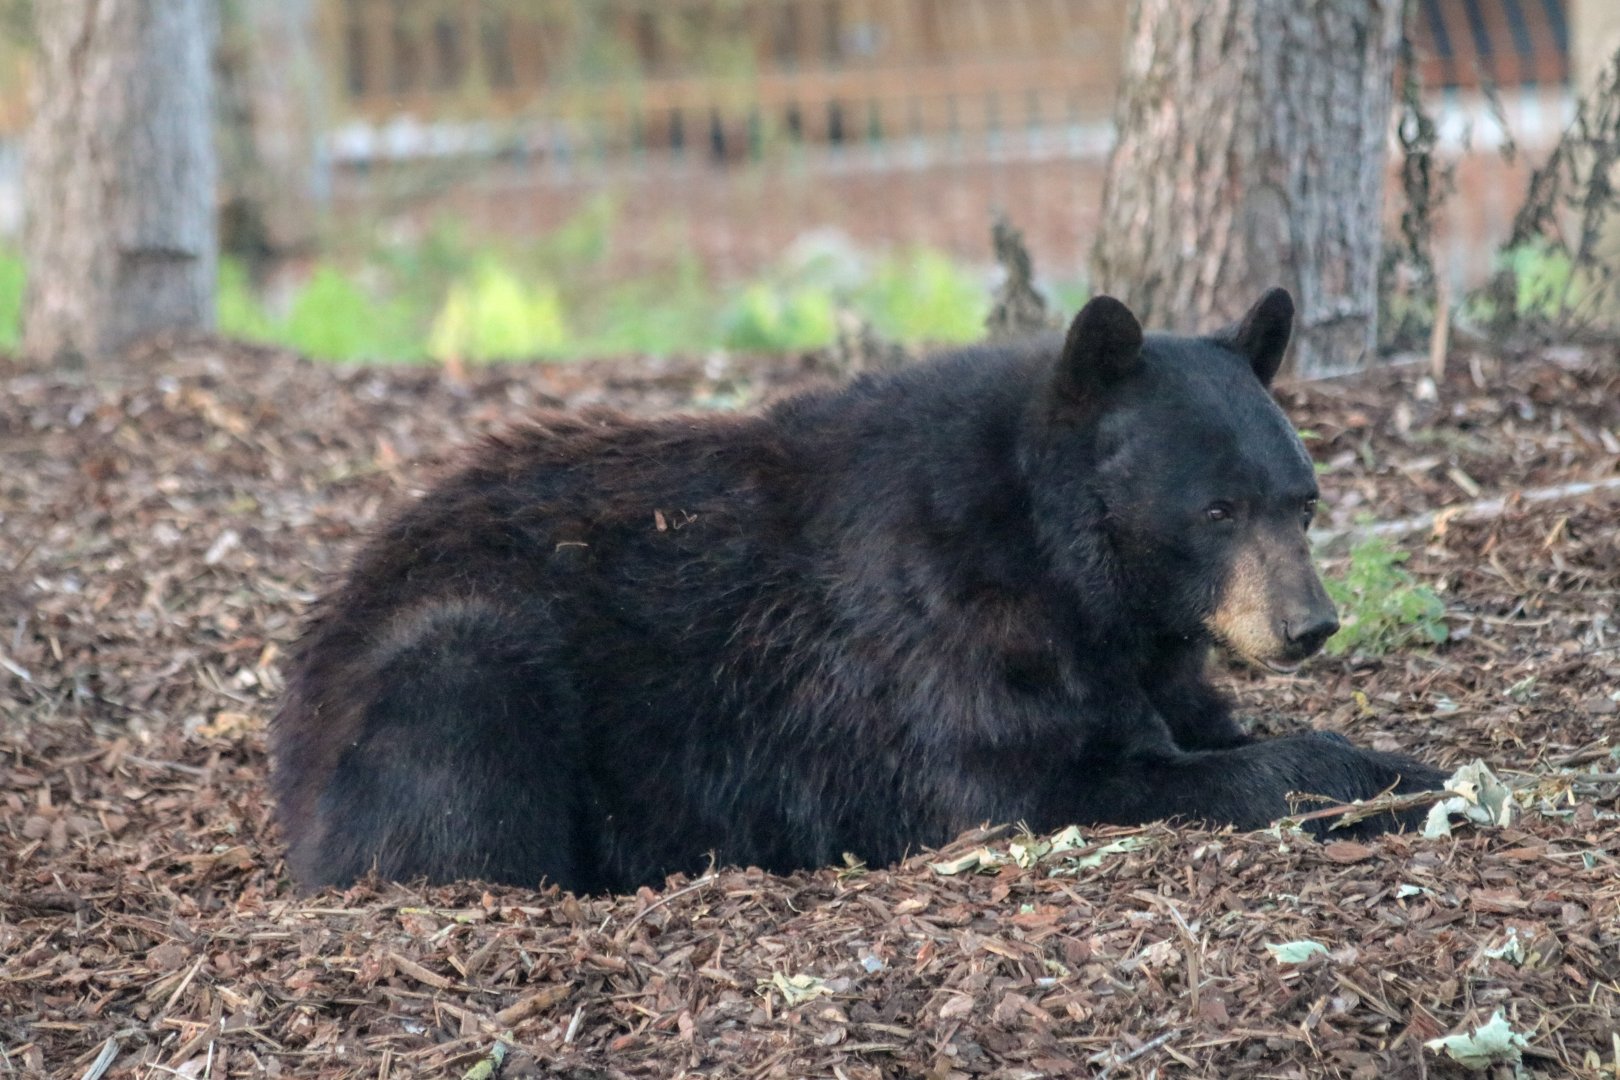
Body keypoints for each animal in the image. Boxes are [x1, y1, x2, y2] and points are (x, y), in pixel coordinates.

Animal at [271, 288, 1446, 894]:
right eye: (1216, 510)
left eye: (1302, 500)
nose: (1309, 626)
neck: (1071, 570)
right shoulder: (943, 642)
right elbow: (1046, 781)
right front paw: (1383, 780)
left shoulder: (1148, 652)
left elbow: (1206, 724)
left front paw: (1411, 763)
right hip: (452, 649)